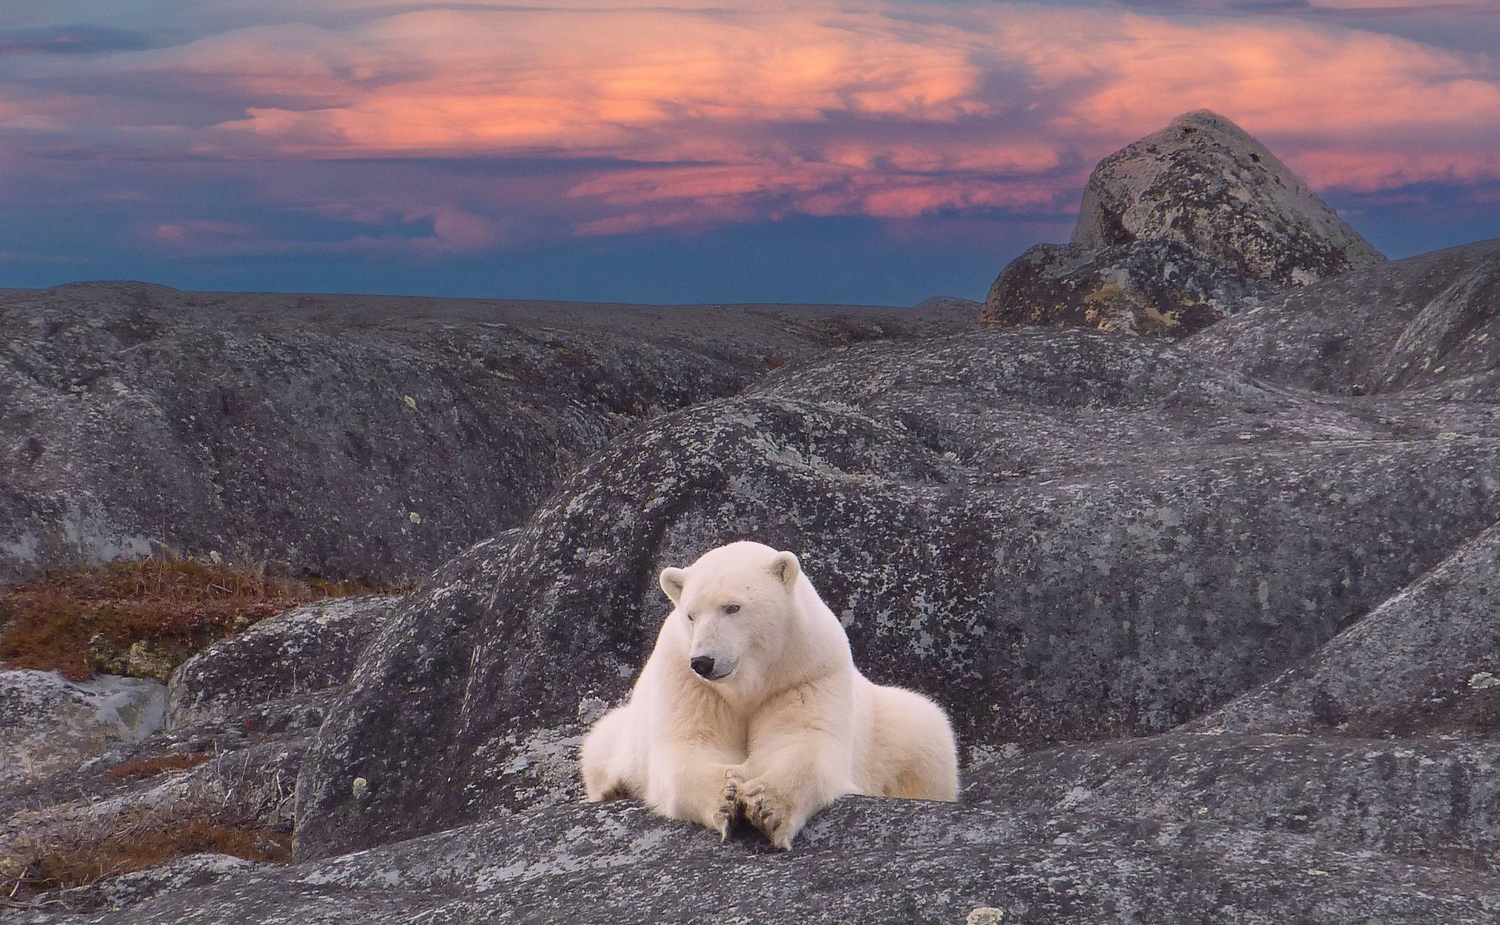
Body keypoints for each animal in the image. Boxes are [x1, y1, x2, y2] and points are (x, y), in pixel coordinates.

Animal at [579, 540, 959, 849]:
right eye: (690, 614)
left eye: (732, 607)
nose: (703, 661)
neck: (749, 681)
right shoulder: (688, 683)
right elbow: (691, 745)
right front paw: (725, 798)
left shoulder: (806, 673)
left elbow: (802, 742)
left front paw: (767, 807)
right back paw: (615, 789)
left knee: (925, 731)